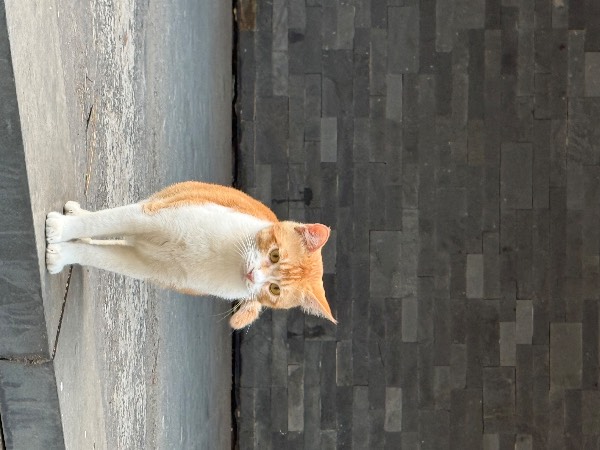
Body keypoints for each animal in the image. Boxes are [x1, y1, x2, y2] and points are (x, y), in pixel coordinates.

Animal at [45, 181, 335, 329]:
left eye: (275, 289)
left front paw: (62, 254)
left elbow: (97, 256)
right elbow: (104, 220)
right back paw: (74, 215)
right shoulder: (150, 216)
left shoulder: (148, 267)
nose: (253, 276)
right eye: (274, 255)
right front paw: (61, 228)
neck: (228, 258)